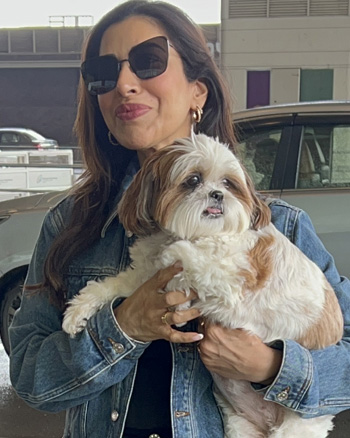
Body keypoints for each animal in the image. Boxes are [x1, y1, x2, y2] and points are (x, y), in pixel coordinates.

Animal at [62, 133, 342, 438]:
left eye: (228, 183)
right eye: (193, 180)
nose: (217, 194)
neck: (197, 232)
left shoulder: (230, 284)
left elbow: (185, 260)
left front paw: (179, 287)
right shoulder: (143, 275)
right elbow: (112, 285)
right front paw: (77, 311)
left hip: (298, 424)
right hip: (239, 424)